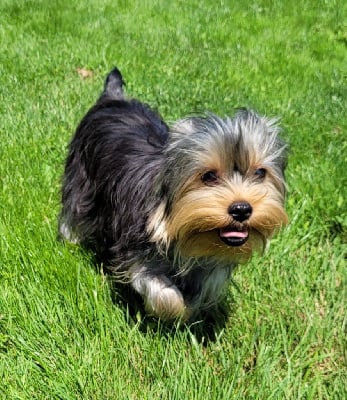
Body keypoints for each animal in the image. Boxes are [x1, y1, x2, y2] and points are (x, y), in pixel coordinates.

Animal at [59, 67, 288, 324]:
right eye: (208, 176)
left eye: (260, 172)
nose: (241, 209)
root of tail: (113, 98)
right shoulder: (137, 252)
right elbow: (165, 293)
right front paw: (179, 311)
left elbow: (209, 282)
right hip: (80, 176)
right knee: (73, 208)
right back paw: (70, 240)